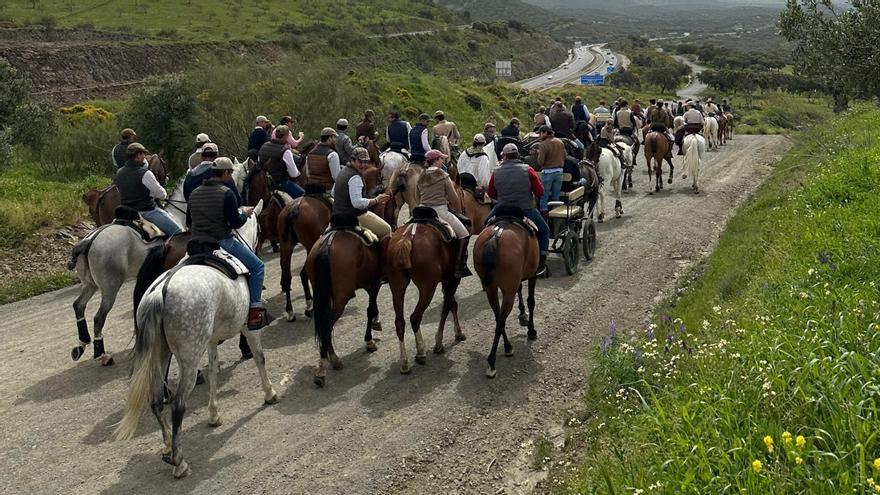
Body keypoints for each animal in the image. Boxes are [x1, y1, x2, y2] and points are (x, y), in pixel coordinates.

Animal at [115, 200, 276, 478]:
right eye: (260, 231)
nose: (258, 248)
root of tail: (159, 293)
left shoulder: (210, 340)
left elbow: (213, 371)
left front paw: (213, 414)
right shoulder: (248, 327)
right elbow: (259, 357)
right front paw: (269, 393)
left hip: (160, 354)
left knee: (156, 400)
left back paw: (168, 446)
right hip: (188, 359)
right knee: (178, 404)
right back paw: (179, 461)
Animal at [276, 185, 332, 322]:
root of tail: (293, 210)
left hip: (286, 246)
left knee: (287, 277)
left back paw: (290, 311)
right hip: (310, 244)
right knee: (304, 273)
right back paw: (310, 305)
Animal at [306, 215, 382, 390]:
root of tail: (326, 247)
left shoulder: (370, 284)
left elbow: (372, 306)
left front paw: (376, 323)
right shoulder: (373, 283)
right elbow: (370, 309)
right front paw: (369, 341)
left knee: (324, 325)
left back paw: (327, 361)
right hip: (342, 297)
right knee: (327, 325)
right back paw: (327, 363)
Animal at [386, 209, 468, 376]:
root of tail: (407, 238)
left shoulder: (447, 280)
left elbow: (452, 304)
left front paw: (457, 333)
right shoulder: (452, 279)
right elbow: (448, 306)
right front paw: (440, 342)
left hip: (397, 287)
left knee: (400, 322)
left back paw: (405, 364)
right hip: (427, 288)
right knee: (415, 317)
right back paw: (421, 352)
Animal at [470, 207, 540, 378]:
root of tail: (497, 234)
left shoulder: (516, 280)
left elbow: (521, 291)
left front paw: (522, 315)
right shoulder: (533, 275)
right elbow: (531, 301)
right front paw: (531, 329)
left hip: (492, 288)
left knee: (497, 315)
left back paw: (507, 346)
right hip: (508, 290)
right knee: (501, 319)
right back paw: (492, 361)